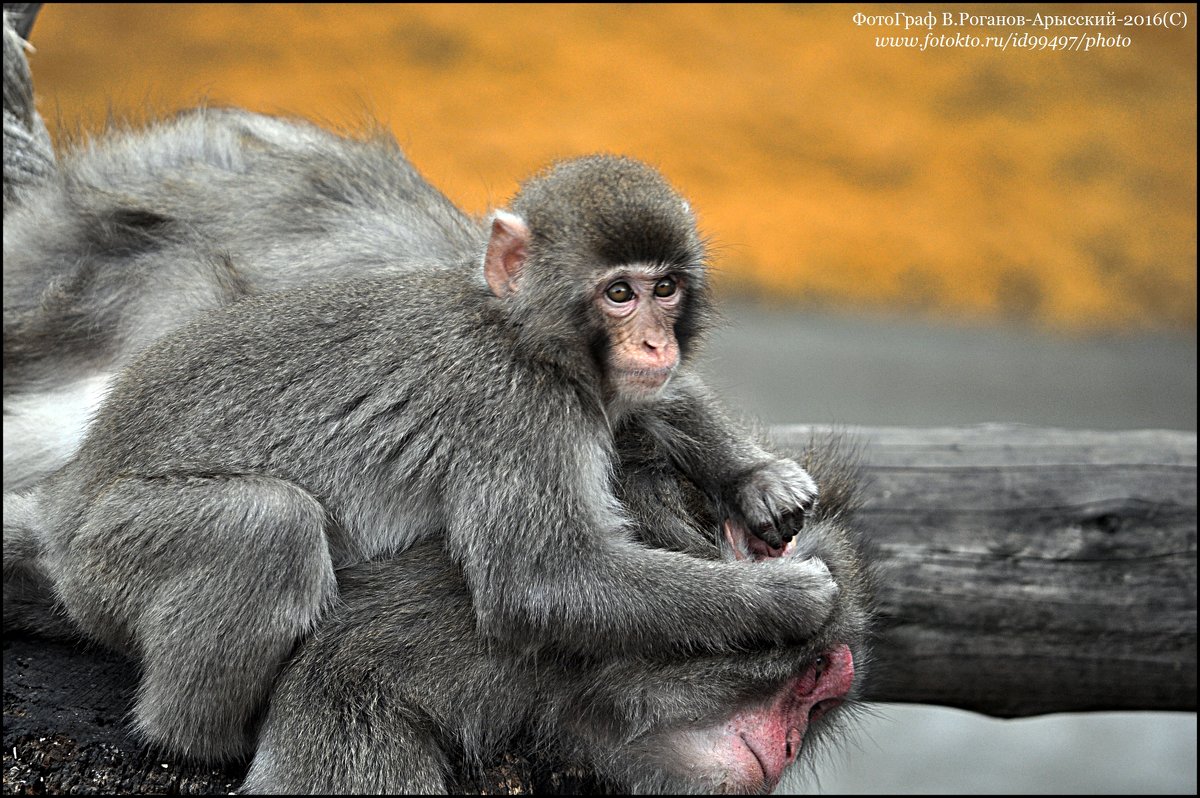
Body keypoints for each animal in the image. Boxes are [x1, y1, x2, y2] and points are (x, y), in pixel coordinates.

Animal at [4, 3, 859, 772]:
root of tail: (65, 511)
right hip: (111, 552)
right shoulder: (520, 413)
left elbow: (650, 408)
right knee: (267, 526)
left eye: (667, 289)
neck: (521, 337)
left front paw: (756, 477)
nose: (653, 340)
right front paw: (781, 600)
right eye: (620, 293)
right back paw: (199, 736)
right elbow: (542, 584)